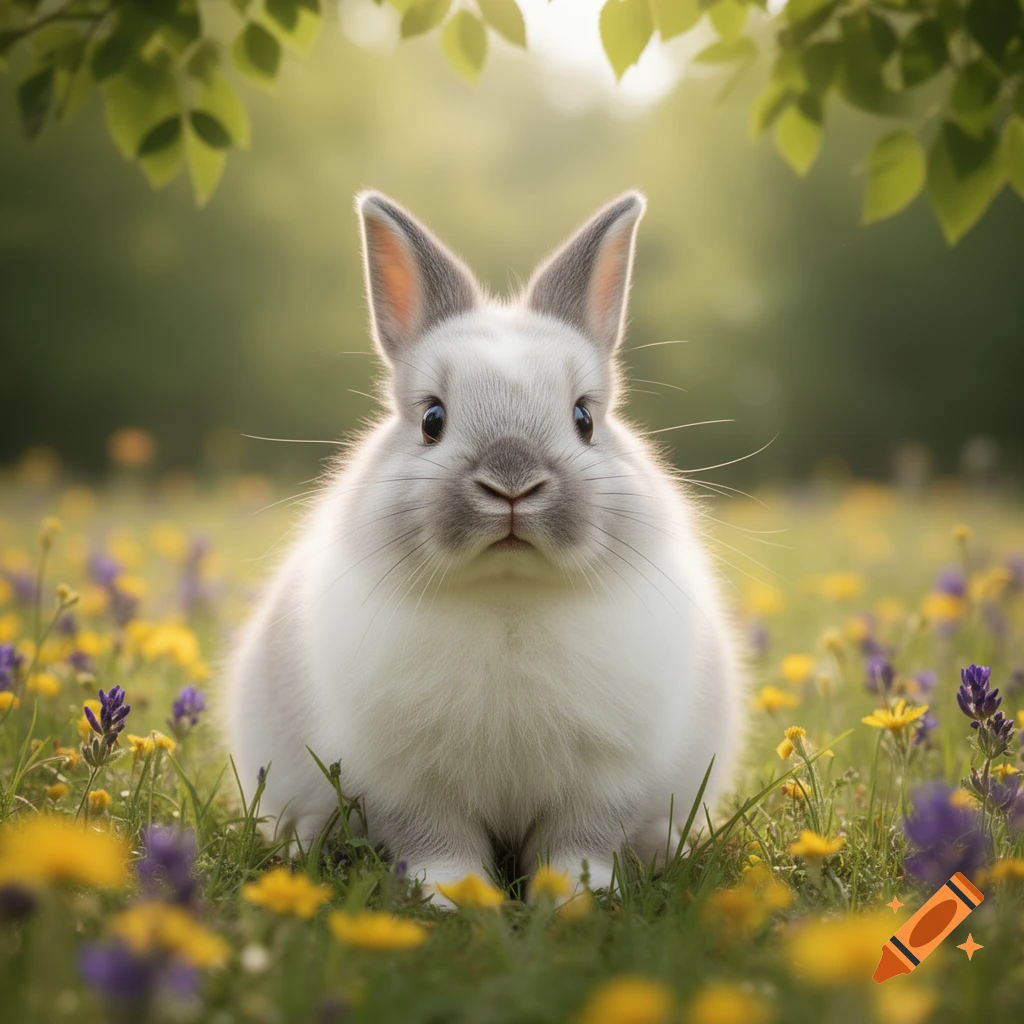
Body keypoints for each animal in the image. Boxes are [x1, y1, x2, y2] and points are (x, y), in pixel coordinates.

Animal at [223, 189, 745, 906]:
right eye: (431, 419)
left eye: (585, 418)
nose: (512, 483)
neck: (508, 594)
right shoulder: (410, 787)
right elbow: (439, 845)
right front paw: (457, 900)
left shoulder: (603, 781)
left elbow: (579, 844)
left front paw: (579, 898)